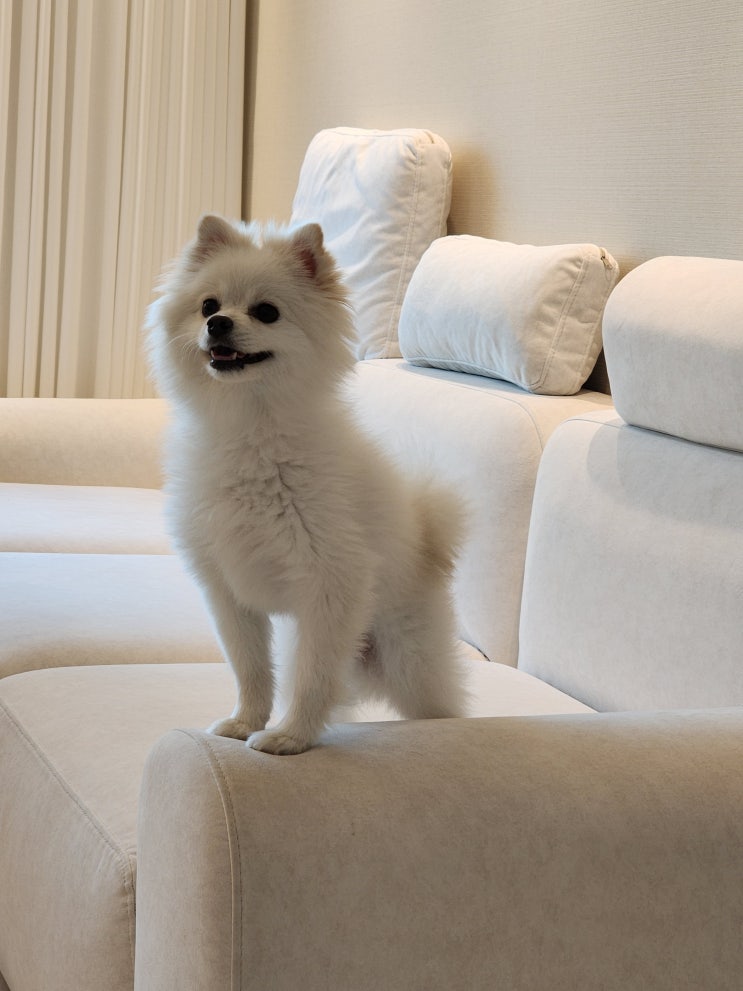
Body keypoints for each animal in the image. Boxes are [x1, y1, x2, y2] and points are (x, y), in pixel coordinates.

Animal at [145, 215, 466, 753]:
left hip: (409, 657)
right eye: (208, 305)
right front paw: (245, 722)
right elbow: (251, 669)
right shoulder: (227, 591)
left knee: (441, 709)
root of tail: (426, 541)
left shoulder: (332, 584)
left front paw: (290, 737)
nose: (218, 324)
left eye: (266, 312)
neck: (251, 429)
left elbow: (312, 675)